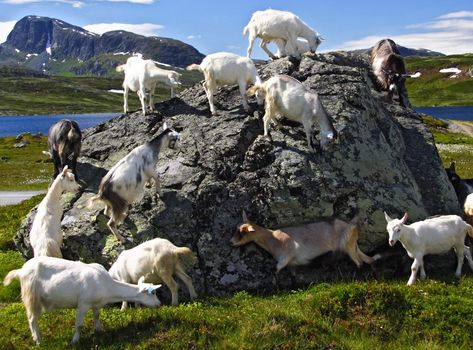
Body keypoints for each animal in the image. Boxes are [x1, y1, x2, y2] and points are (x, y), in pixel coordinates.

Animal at [2, 258, 162, 344]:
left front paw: (99, 331)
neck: (107, 286)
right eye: (153, 292)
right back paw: (38, 340)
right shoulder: (83, 304)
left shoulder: (97, 304)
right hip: (31, 296)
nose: (159, 304)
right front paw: (75, 340)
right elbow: (78, 324)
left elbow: (97, 317)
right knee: (31, 319)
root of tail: (21, 270)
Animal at [230, 209, 378, 272]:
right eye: (236, 228)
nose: (231, 242)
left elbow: (276, 270)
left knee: (359, 262)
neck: (273, 238)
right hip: (351, 246)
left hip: (347, 245)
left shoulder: (285, 257)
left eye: (243, 232)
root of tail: (352, 226)